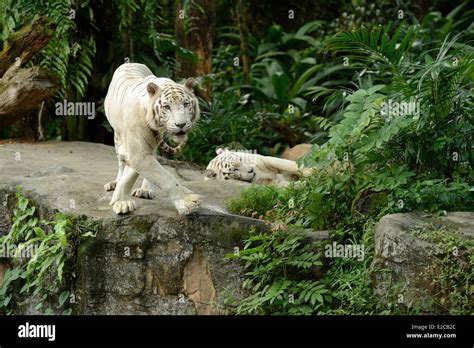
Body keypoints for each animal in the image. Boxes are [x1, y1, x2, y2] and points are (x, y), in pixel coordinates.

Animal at [103, 62, 201, 215]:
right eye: (167, 107)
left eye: (185, 104)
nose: (181, 124)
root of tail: (129, 62)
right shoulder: (138, 152)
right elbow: (167, 178)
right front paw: (188, 201)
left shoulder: (142, 152)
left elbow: (137, 174)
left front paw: (120, 200)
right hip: (118, 137)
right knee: (121, 161)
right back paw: (116, 182)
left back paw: (145, 190)